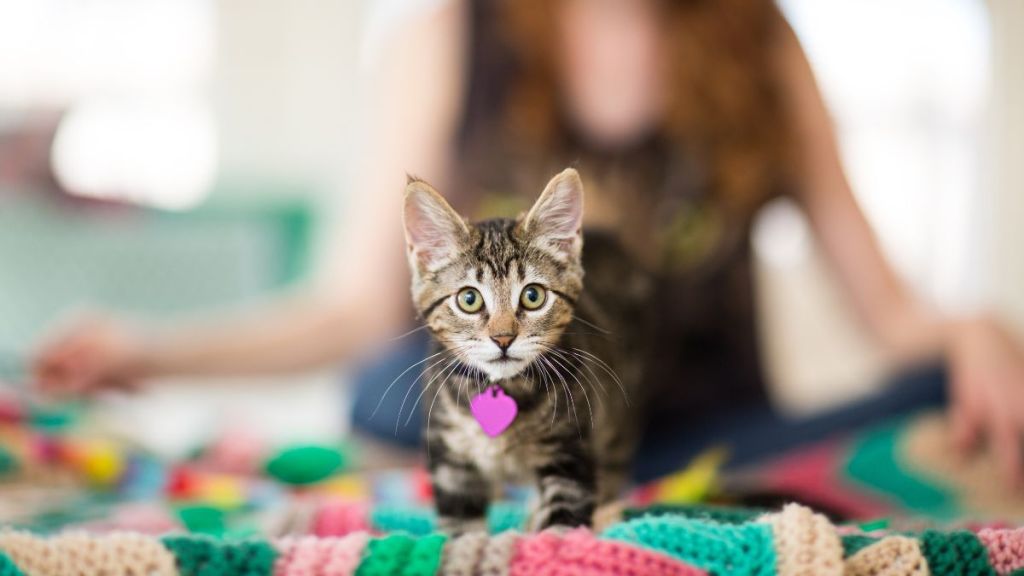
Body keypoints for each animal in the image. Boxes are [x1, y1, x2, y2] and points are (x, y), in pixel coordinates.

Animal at [401, 166, 647, 528]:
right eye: (469, 299)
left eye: (533, 296)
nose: (503, 338)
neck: (506, 387)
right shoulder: (450, 459)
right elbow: (462, 525)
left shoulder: (569, 448)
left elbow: (563, 521)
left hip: (619, 412)